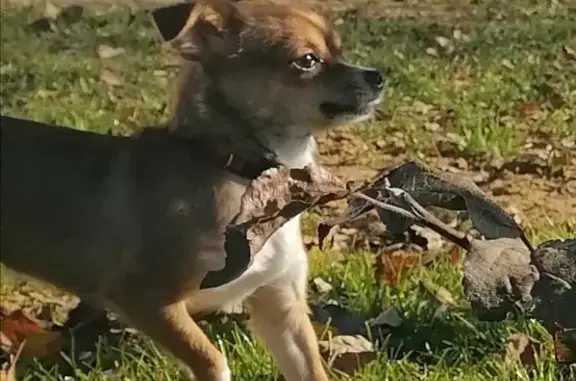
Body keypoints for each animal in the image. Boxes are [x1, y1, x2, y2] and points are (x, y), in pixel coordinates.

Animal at [1, 1, 388, 378]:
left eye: (339, 49)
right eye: (307, 60)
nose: (379, 76)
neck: (239, 175)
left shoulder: (282, 306)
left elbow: (310, 368)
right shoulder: (145, 297)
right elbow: (213, 360)